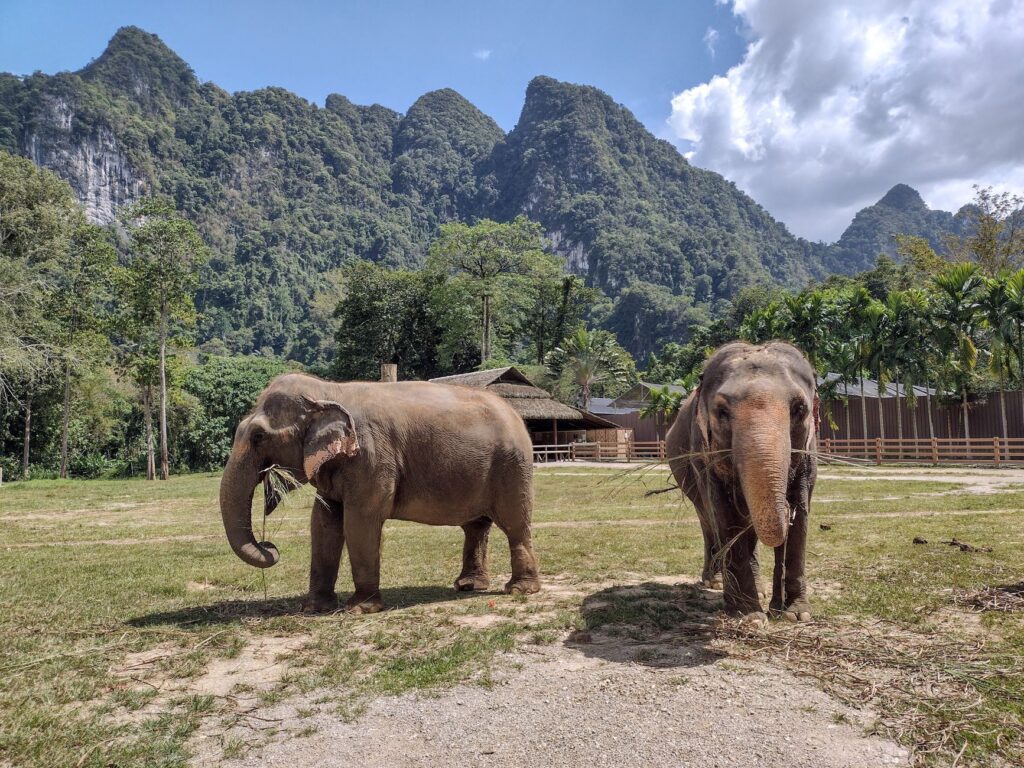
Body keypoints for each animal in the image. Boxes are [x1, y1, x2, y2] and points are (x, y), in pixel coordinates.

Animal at [219, 372, 541, 614]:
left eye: (259, 436)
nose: (270, 546)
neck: (329, 389)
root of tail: (516, 414)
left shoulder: (372, 458)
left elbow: (360, 522)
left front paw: (359, 609)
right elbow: (323, 524)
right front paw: (313, 608)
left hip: (513, 467)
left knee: (514, 524)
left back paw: (519, 590)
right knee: (476, 527)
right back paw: (468, 586)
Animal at [666, 341, 818, 626]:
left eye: (799, 409)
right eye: (722, 411)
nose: (776, 608)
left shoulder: (809, 451)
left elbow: (801, 513)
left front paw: (795, 614)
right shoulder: (703, 454)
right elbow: (724, 515)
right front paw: (749, 616)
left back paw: (758, 590)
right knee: (708, 520)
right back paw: (715, 581)